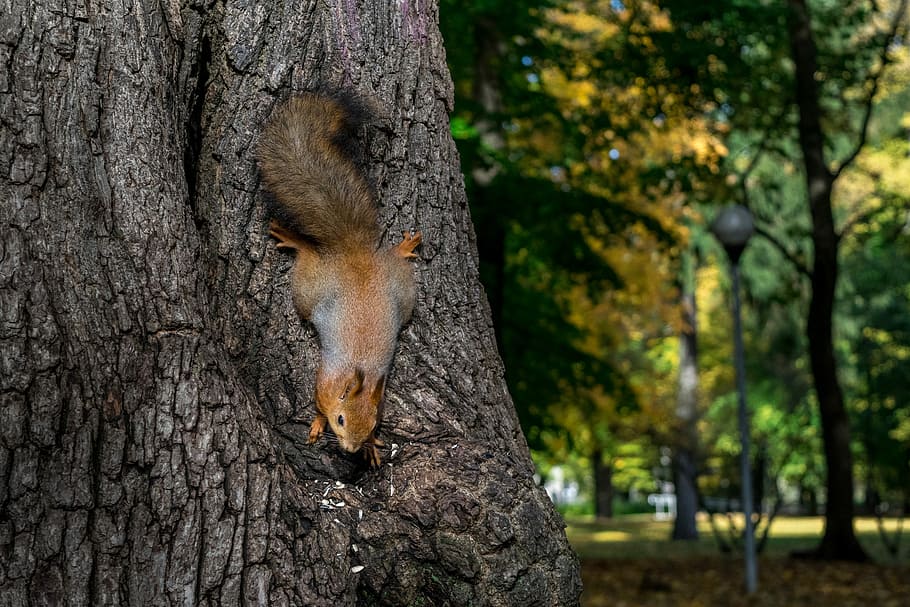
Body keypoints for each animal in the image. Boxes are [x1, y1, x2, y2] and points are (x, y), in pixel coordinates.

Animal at [257, 92, 421, 467]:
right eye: (342, 419)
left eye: (374, 423)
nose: (350, 449)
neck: (358, 373)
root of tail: (353, 253)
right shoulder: (325, 380)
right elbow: (318, 403)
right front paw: (318, 424)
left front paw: (372, 447)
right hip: (309, 289)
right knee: (307, 260)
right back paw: (297, 241)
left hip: (402, 291)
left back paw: (403, 248)